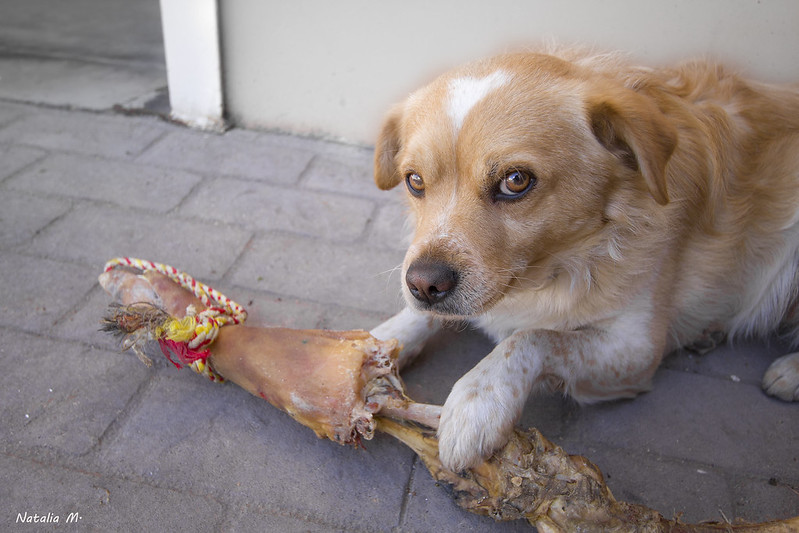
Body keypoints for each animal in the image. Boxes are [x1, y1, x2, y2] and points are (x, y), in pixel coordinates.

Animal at [368, 45, 799, 470]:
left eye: (516, 181)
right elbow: (418, 318)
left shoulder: (636, 347)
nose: (425, 284)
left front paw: (479, 398)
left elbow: (533, 337)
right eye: (414, 180)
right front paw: (375, 343)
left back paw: (789, 372)